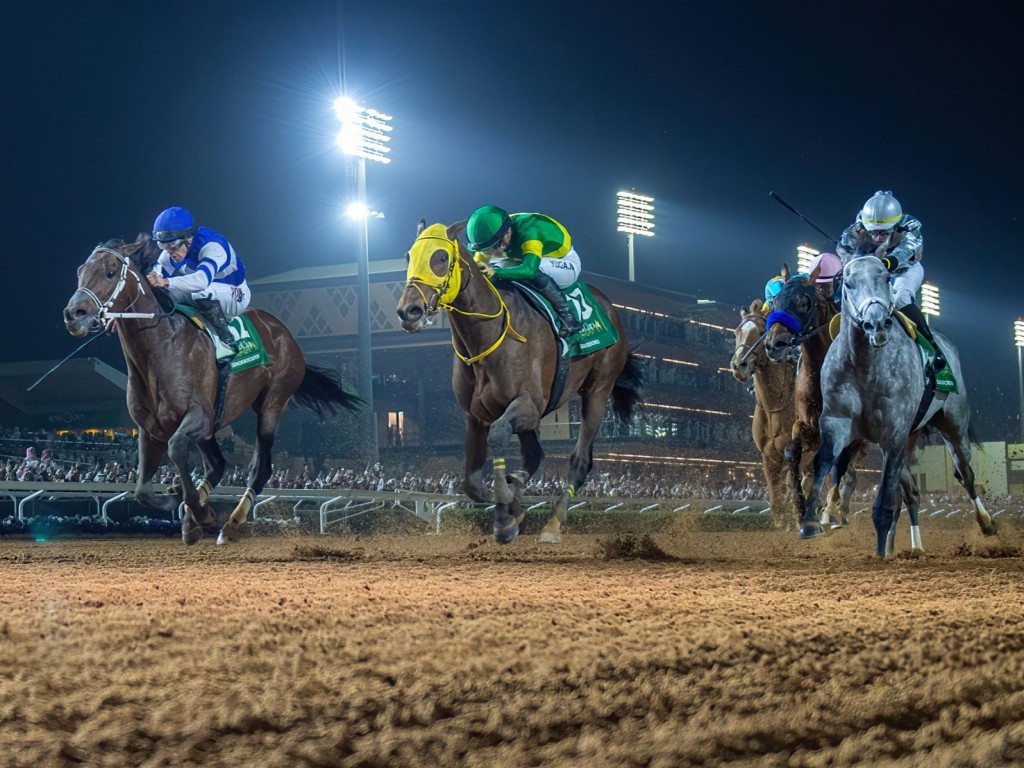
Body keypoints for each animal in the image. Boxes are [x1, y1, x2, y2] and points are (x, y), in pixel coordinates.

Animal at [61, 237, 362, 544]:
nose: (74, 315)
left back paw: (231, 524)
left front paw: (196, 511)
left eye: (110, 272)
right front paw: (184, 503)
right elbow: (142, 491)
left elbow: (176, 449)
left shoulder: (199, 416)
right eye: (80, 271)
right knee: (218, 465)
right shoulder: (149, 429)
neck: (162, 347)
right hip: (213, 426)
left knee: (260, 469)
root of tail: (282, 331)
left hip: (272, 402)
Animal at [397, 222, 643, 548]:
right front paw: (512, 507)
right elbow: (472, 483)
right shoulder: (476, 415)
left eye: (440, 257)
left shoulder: (528, 405)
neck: (489, 335)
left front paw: (504, 518)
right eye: (409, 256)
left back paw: (552, 525)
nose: (408, 311)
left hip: (598, 391)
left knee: (580, 460)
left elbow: (500, 435)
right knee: (536, 454)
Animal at [802, 256, 995, 557]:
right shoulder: (837, 421)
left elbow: (885, 498)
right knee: (911, 492)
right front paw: (813, 520)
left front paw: (879, 547)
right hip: (911, 437)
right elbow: (825, 461)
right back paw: (907, 546)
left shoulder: (893, 432)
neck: (865, 366)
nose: (876, 324)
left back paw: (985, 522)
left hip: (953, 424)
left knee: (964, 473)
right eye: (848, 283)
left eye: (885, 278)